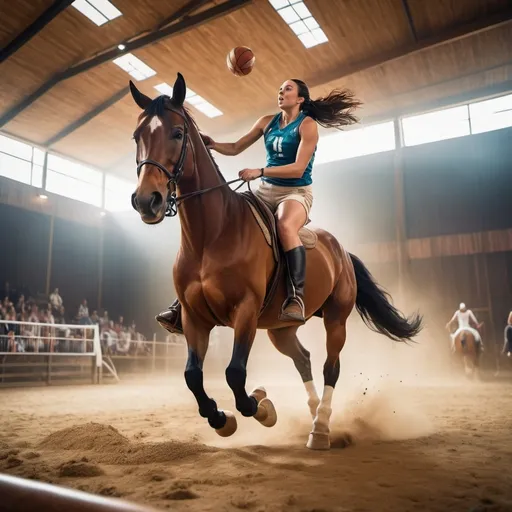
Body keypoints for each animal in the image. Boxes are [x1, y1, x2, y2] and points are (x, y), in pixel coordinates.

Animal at [129, 74, 420, 450]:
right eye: (137, 136)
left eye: (177, 133)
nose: (146, 201)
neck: (212, 233)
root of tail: (340, 250)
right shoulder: (195, 317)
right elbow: (193, 375)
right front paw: (223, 419)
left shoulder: (245, 312)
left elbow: (235, 374)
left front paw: (260, 406)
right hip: (280, 330)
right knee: (303, 360)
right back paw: (312, 413)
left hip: (336, 320)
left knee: (330, 367)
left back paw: (320, 429)